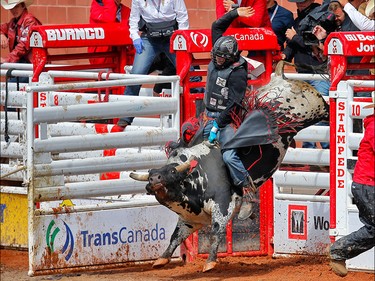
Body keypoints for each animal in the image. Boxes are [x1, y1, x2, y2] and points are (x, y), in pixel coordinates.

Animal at [129, 60, 328, 272]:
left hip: (312, 108)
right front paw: (162, 259)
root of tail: (281, 79)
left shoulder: (223, 206)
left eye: (172, 172)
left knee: (324, 107)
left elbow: (216, 233)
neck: (197, 176)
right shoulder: (190, 220)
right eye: (151, 174)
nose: (154, 180)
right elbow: (175, 237)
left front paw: (210, 262)